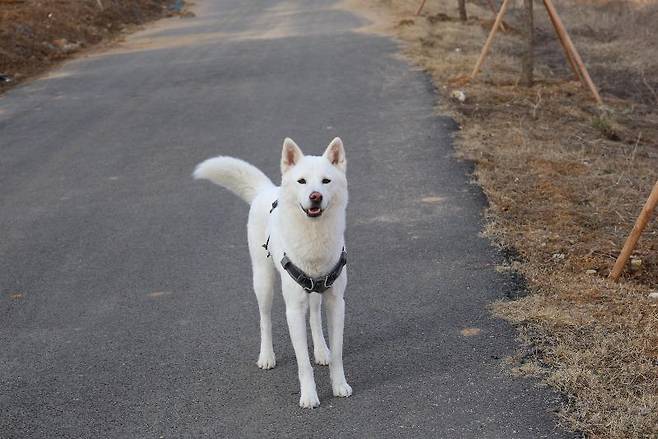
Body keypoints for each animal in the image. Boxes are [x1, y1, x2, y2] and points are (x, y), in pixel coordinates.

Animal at [192, 138, 352, 410]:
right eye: (302, 181)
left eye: (326, 181)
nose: (315, 196)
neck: (314, 236)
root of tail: (266, 190)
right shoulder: (293, 310)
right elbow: (303, 363)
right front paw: (309, 396)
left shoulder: (335, 302)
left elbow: (338, 352)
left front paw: (339, 385)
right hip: (263, 282)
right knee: (264, 320)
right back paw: (266, 356)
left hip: (313, 292)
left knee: (314, 316)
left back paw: (321, 350)